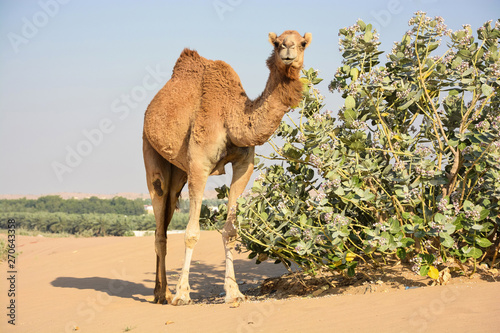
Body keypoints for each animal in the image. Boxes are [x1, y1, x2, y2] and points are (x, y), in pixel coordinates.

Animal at [143, 29, 310, 304]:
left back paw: (162, 291)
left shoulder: (244, 164)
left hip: (178, 171)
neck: (232, 117)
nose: (288, 49)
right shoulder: (199, 165)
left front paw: (234, 293)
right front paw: (183, 294)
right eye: (277, 43)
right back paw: (163, 294)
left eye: (303, 43)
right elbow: (191, 233)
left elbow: (230, 231)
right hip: (150, 150)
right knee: (159, 216)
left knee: (166, 217)